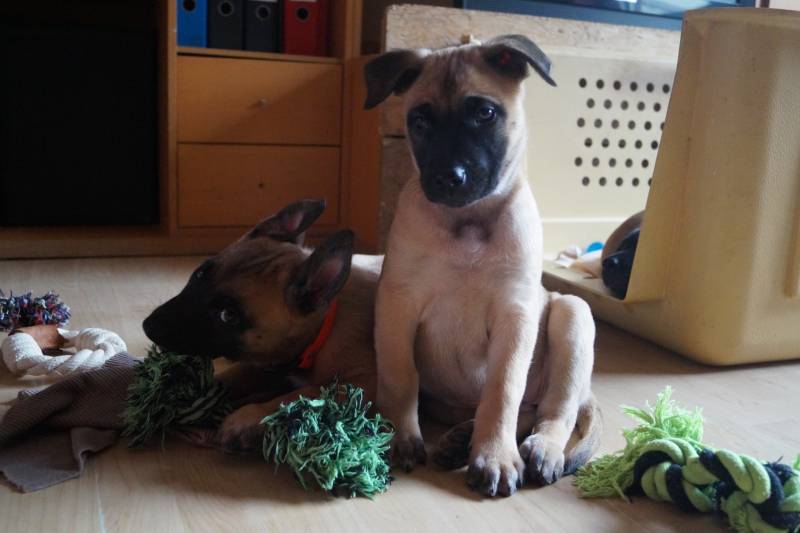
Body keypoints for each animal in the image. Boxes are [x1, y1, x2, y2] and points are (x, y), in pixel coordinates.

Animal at [142, 199, 383, 453]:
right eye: (199, 274)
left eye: (228, 316)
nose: (148, 327)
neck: (320, 334)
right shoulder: (263, 360)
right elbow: (232, 377)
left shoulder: (363, 383)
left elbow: (303, 394)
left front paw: (249, 417)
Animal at [364, 34, 602, 497]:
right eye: (420, 121)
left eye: (485, 114)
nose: (447, 177)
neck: (467, 222)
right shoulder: (398, 304)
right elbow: (399, 377)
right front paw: (400, 436)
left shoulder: (515, 316)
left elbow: (502, 391)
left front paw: (494, 456)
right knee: (524, 412)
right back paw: (459, 440)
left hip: (573, 315)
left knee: (553, 410)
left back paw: (541, 449)